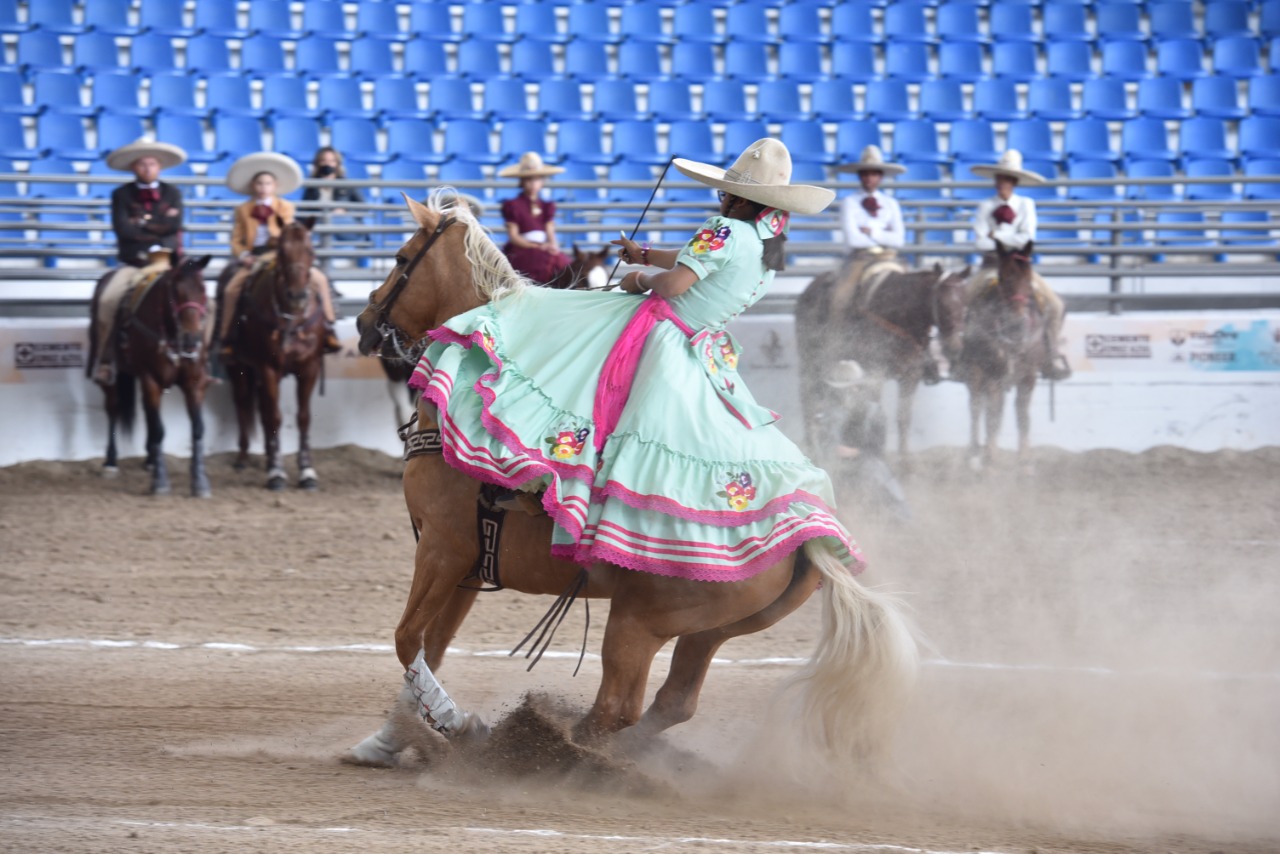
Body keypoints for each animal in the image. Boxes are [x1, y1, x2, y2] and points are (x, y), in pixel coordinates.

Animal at [90, 252, 215, 494]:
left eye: (203, 289)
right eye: (175, 290)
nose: (192, 339)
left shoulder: (193, 382)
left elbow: (198, 429)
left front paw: (200, 482)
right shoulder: (151, 379)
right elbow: (158, 429)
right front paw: (160, 482)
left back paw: (150, 460)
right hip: (111, 376)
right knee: (113, 408)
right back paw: (111, 462)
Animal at [221, 220, 330, 491]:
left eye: (311, 250)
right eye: (281, 252)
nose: (298, 295)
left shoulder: (309, 367)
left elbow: (303, 417)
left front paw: (307, 471)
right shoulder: (268, 368)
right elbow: (275, 418)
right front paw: (276, 472)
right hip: (238, 368)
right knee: (243, 404)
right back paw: (243, 458)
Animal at [345, 193, 916, 768]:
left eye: (400, 258)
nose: (364, 322)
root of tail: (808, 541)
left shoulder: (442, 547)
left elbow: (407, 639)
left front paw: (458, 725)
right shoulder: (468, 564)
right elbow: (432, 648)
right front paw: (386, 741)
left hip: (637, 622)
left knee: (618, 707)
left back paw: (555, 753)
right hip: (709, 631)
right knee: (671, 702)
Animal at [793, 262, 962, 463]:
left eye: (964, 303)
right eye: (943, 303)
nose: (955, 346)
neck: (898, 316)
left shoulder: (910, 376)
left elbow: (903, 418)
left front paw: (904, 457)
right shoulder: (875, 372)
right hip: (810, 361)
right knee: (808, 399)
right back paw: (812, 448)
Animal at [962, 241, 1049, 473]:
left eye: (1028, 277)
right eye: (1002, 277)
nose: (1016, 322)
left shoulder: (1028, 377)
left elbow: (1022, 414)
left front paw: (1024, 460)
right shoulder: (993, 374)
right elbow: (991, 413)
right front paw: (989, 457)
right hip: (976, 372)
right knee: (976, 408)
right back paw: (974, 455)